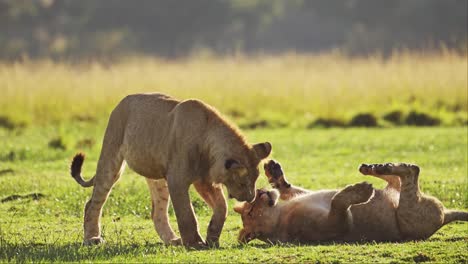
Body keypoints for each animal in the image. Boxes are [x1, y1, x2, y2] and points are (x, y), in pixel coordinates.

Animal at [69, 93, 270, 248]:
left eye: (256, 179)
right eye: (243, 181)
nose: (250, 197)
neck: (208, 138)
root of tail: (121, 102)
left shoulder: (204, 181)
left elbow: (222, 207)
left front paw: (212, 238)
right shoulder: (177, 180)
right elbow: (186, 213)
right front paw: (195, 243)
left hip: (158, 177)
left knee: (157, 212)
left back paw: (173, 240)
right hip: (111, 157)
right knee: (93, 203)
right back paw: (92, 239)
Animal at [236, 159, 466, 243]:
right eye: (250, 212)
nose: (260, 192)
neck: (280, 213)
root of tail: (445, 215)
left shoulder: (303, 195)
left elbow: (288, 189)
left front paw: (274, 172)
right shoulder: (334, 227)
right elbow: (338, 203)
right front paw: (361, 192)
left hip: (397, 192)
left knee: (396, 179)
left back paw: (376, 167)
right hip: (409, 214)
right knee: (412, 174)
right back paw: (385, 169)